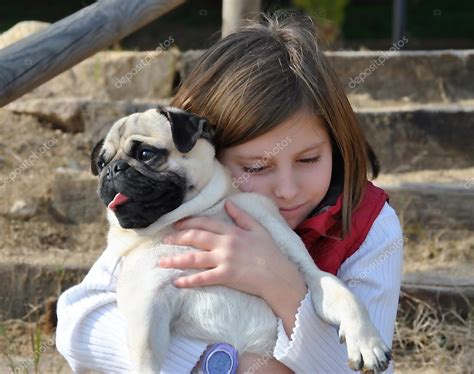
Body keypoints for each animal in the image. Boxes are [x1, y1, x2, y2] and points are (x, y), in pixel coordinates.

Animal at [90, 106, 390, 372]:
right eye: (101, 163)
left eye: (146, 154)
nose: (113, 169)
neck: (195, 213)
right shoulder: (147, 303)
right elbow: (147, 361)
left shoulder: (310, 274)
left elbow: (344, 295)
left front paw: (366, 343)